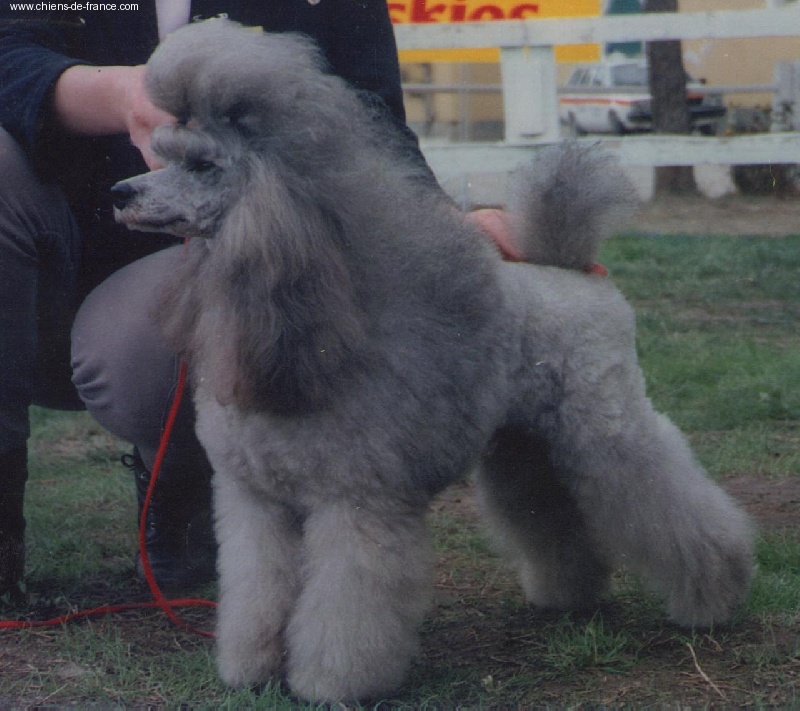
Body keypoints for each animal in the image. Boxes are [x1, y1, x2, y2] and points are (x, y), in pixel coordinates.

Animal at [111, 19, 753, 703]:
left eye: (203, 165)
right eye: (162, 155)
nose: (120, 192)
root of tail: (574, 269)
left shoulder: (357, 501)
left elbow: (346, 606)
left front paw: (330, 683)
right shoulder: (255, 502)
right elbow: (258, 591)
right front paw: (251, 669)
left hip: (607, 428)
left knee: (672, 504)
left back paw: (714, 598)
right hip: (526, 442)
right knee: (551, 513)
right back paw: (568, 595)